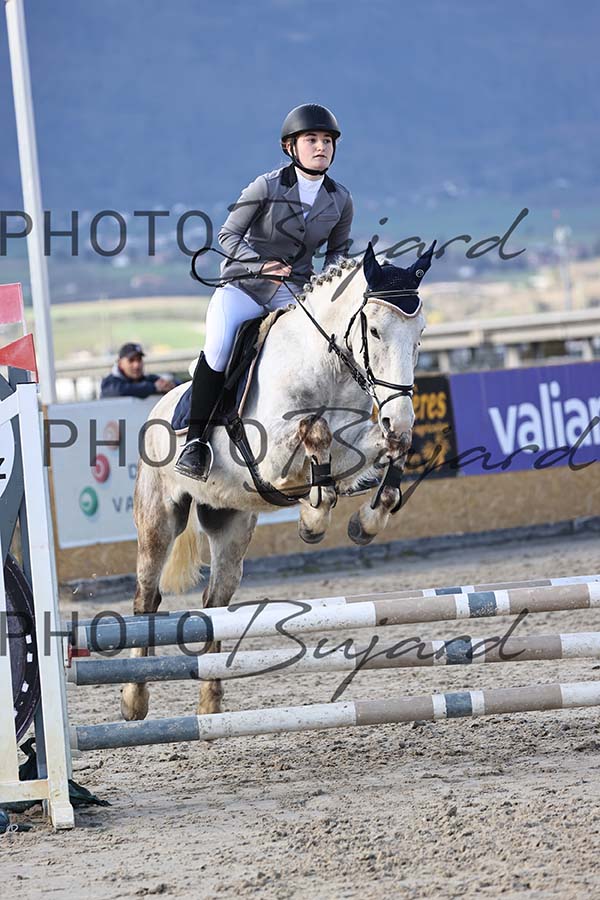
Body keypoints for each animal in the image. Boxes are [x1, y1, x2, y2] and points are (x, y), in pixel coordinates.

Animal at [120, 241, 435, 722]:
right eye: (376, 331)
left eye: (419, 335)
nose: (399, 416)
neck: (328, 368)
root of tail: (161, 405)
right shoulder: (268, 456)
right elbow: (315, 432)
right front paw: (313, 517)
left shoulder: (358, 444)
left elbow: (384, 451)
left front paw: (362, 518)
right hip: (159, 518)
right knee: (147, 597)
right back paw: (134, 699)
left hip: (231, 524)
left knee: (215, 602)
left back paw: (211, 704)